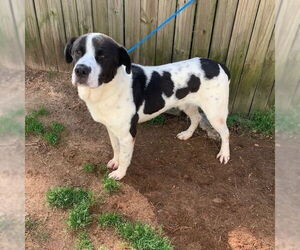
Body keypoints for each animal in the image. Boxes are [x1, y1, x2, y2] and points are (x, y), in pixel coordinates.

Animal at [64, 32, 231, 180]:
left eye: (102, 56)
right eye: (77, 51)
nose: (81, 70)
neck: (109, 87)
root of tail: (220, 65)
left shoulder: (127, 135)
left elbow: (125, 157)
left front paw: (120, 173)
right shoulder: (111, 128)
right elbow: (115, 148)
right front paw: (115, 162)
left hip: (215, 113)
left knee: (226, 132)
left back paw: (225, 154)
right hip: (187, 104)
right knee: (196, 118)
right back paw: (187, 134)